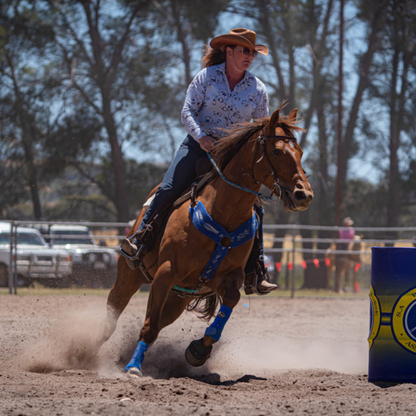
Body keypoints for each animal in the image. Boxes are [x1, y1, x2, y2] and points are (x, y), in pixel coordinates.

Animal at [96, 108, 312, 376]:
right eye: (277, 151)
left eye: (300, 152)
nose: (304, 195)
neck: (223, 211)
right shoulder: (166, 273)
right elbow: (149, 326)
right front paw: (134, 367)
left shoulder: (227, 278)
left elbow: (230, 301)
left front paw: (198, 350)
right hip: (130, 275)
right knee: (113, 315)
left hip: (179, 297)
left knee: (159, 319)